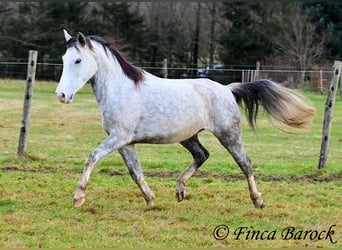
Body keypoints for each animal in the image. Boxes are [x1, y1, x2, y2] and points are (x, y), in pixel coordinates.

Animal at [55, 29, 316, 209]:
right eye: (64, 59)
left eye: (78, 60)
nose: (61, 95)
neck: (121, 89)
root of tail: (227, 89)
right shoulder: (124, 142)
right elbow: (135, 172)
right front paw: (151, 199)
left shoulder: (120, 137)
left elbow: (91, 158)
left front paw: (78, 197)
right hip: (189, 136)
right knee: (202, 155)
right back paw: (180, 190)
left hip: (229, 135)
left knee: (245, 163)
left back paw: (257, 200)